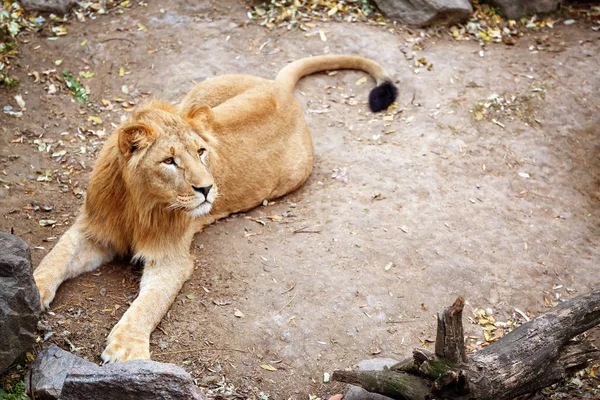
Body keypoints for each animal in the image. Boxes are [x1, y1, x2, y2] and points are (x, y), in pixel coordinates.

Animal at [34, 54, 398, 364]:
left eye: (201, 152)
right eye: (169, 160)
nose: (208, 189)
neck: (137, 205)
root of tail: (280, 89)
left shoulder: (171, 257)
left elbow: (148, 304)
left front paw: (126, 348)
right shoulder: (92, 228)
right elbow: (56, 256)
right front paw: (32, 288)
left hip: (291, 173)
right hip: (197, 96)